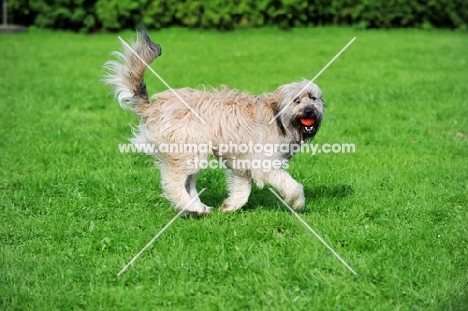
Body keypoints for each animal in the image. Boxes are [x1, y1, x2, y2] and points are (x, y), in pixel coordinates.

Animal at [103, 26, 324, 216]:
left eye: (314, 98)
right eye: (297, 100)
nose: (310, 111)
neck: (279, 117)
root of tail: (154, 107)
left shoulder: (241, 164)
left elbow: (242, 190)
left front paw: (230, 206)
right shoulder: (264, 163)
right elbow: (291, 184)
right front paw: (298, 202)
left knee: (188, 183)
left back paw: (197, 207)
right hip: (188, 150)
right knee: (174, 182)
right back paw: (191, 207)